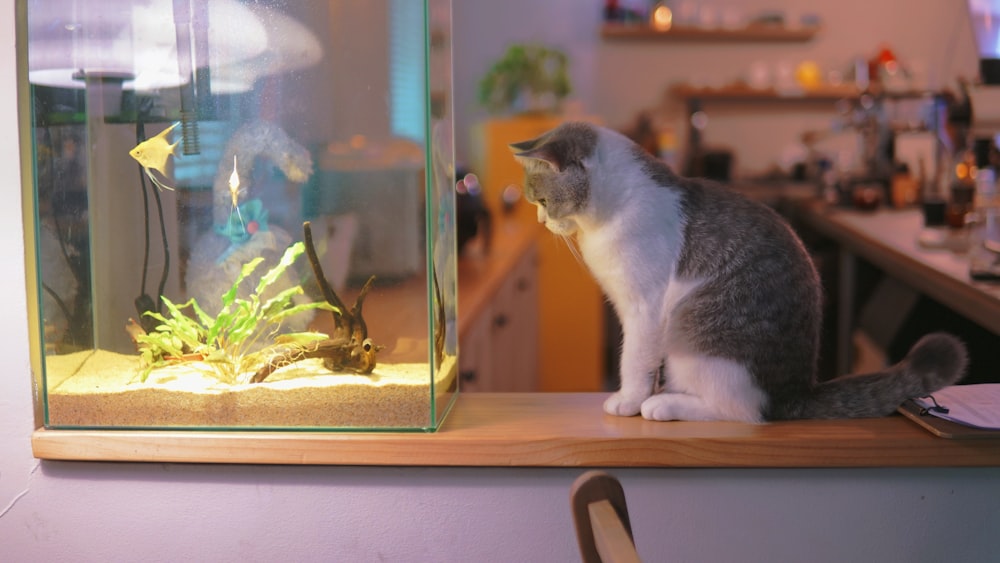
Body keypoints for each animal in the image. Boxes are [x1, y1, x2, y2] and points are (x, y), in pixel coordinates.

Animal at [512, 123, 964, 424]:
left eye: (542, 200)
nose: (540, 220)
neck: (613, 206)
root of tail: (797, 393)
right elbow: (642, 364)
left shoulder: (644, 309)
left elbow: (634, 361)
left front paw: (628, 399)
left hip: (692, 335)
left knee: (743, 411)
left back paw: (666, 404)